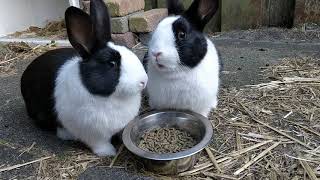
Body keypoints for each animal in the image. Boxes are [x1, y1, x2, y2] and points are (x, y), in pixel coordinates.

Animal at [20, 0, 148, 155]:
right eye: (111, 64)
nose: (143, 81)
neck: (110, 97)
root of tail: (25, 74)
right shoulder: (94, 135)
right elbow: (101, 145)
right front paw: (110, 153)